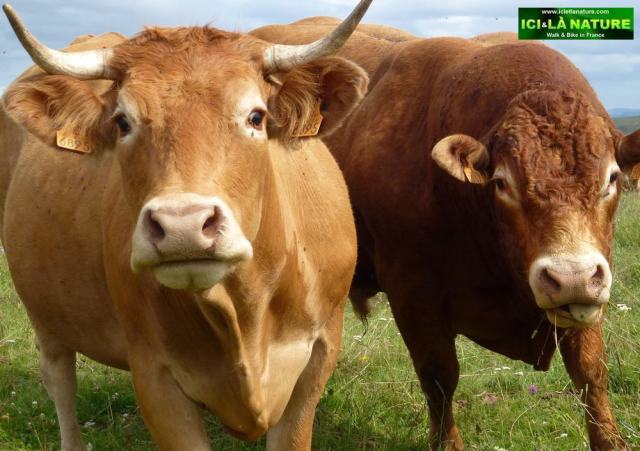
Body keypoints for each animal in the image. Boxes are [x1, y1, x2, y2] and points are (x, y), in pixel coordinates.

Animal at [0, 2, 373, 449]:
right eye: (122, 122)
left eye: (256, 116)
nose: (183, 226)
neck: (245, 312)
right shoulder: (154, 376)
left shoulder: (318, 357)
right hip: (45, 316)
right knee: (60, 380)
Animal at [252, 21, 640, 450]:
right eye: (502, 182)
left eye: (612, 179)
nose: (570, 277)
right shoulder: (413, 295)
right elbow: (439, 376)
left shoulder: (591, 288)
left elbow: (590, 373)